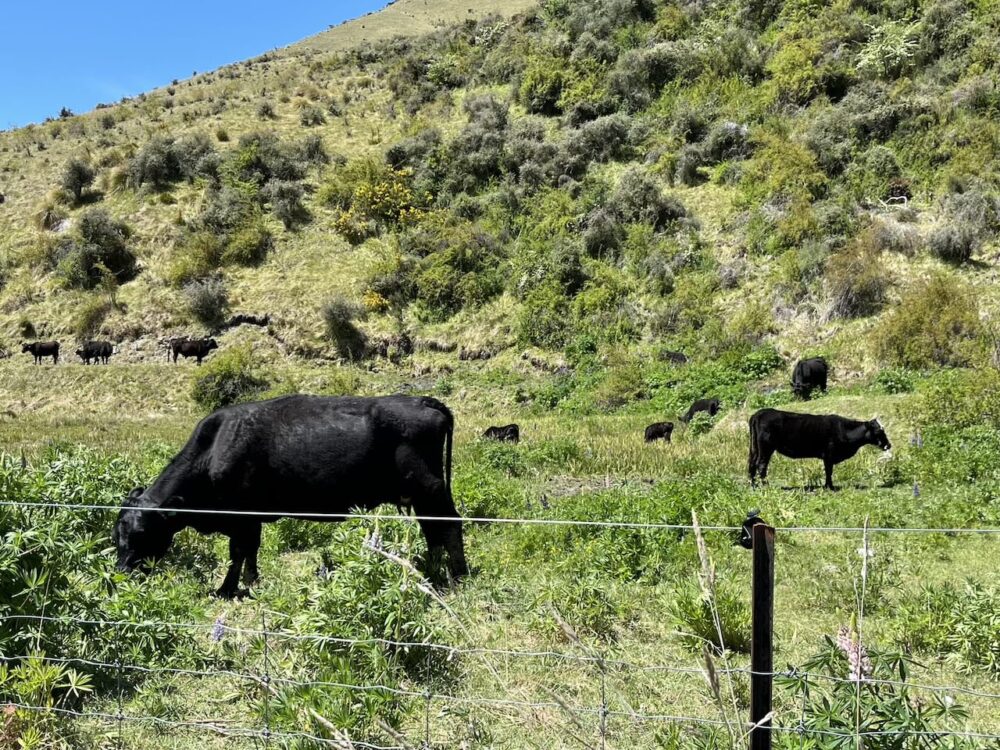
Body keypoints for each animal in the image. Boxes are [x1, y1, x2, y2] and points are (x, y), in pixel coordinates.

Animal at [114, 394, 468, 600]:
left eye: (142, 532)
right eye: (116, 534)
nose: (122, 572)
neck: (213, 449)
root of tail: (423, 400)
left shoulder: (242, 517)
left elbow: (237, 552)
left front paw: (227, 589)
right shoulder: (251, 520)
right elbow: (250, 551)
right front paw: (251, 580)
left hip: (430, 488)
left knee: (449, 526)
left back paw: (456, 577)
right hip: (421, 496)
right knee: (432, 530)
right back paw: (431, 572)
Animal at [752, 412, 892, 494]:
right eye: (879, 431)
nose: (888, 445)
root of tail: (760, 413)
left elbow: (828, 471)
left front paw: (827, 486)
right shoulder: (829, 455)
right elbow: (829, 471)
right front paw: (830, 487)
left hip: (756, 449)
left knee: (752, 465)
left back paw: (753, 485)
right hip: (766, 448)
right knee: (761, 465)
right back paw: (766, 486)